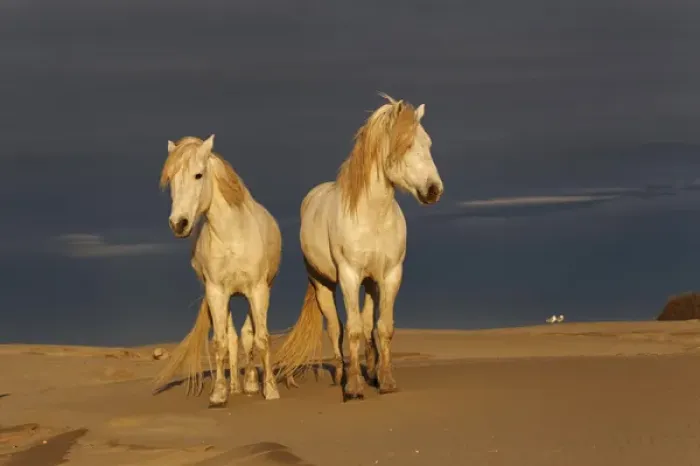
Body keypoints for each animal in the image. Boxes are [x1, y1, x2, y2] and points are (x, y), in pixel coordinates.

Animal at [153, 134, 282, 407]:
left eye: (198, 175)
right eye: (171, 179)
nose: (178, 224)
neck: (232, 236)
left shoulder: (258, 290)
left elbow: (261, 339)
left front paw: (270, 389)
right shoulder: (216, 292)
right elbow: (221, 342)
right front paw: (219, 393)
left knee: (248, 334)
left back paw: (251, 383)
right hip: (228, 298)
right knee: (233, 338)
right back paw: (236, 386)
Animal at [274, 94, 444, 400]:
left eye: (428, 143)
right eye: (406, 145)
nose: (434, 190)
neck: (372, 216)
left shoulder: (390, 276)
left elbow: (382, 329)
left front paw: (386, 381)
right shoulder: (349, 277)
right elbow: (351, 330)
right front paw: (353, 388)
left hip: (371, 284)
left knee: (367, 327)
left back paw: (372, 372)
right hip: (324, 286)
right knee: (336, 329)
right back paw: (342, 376)